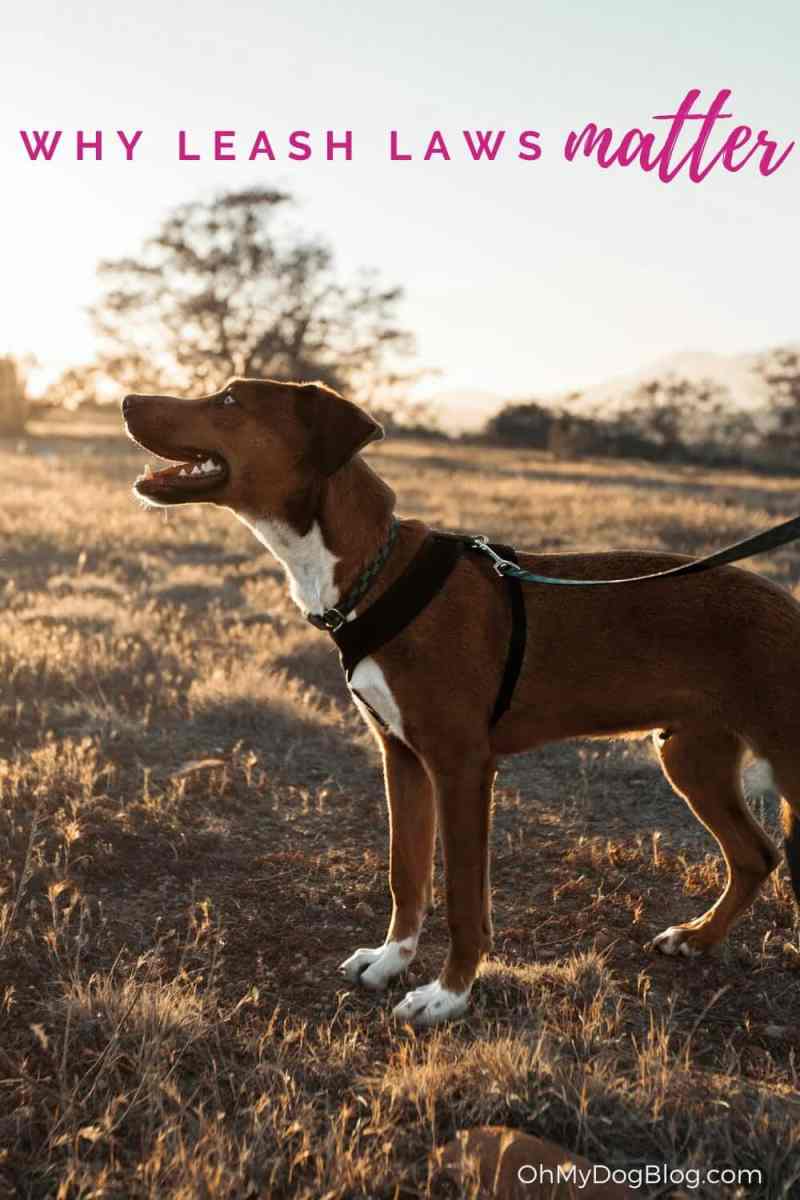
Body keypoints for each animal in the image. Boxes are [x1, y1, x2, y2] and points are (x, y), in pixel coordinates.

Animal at [122, 379, 800, 1027]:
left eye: (230, 399)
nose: (127, 400)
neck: (374, 572)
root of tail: (788, 604)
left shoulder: (462, 767)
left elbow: (463, 901)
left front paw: (448, 995)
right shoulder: (401, 757)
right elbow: (406, 874)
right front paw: (391, 959)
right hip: (691, 756)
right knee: (755, 855)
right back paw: (698, 937)